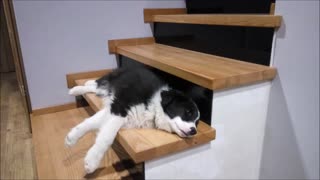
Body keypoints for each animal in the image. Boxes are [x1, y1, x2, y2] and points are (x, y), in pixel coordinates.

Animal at [65, 67, 200, 173]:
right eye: (188, 112)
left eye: (197, 122)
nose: (194, 131)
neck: (154, 107)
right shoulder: (120, 107)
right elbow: (107, 136)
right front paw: (92, 161)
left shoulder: (114, 109)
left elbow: (92, 122)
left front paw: (72, 137)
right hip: (112, 80)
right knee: (98, 85)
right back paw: (78, 88)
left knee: (98, 89)